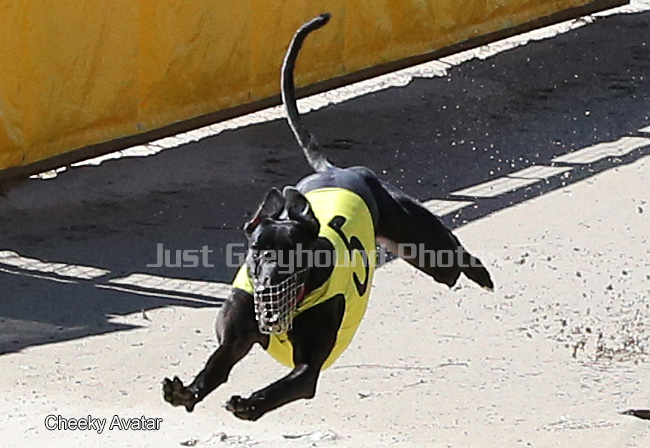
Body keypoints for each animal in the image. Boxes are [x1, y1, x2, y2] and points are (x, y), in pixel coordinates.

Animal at [163, 13, 493, 421]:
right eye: (257, 250)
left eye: (294, 255)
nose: (268, 282)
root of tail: (335, 170)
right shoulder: (235, 338)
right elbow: (215, 366)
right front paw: (186, 391)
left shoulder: (308, 369)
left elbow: (285, 385)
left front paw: (250, 403)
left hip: (420, 241)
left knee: (453, 256)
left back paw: (481, 274)